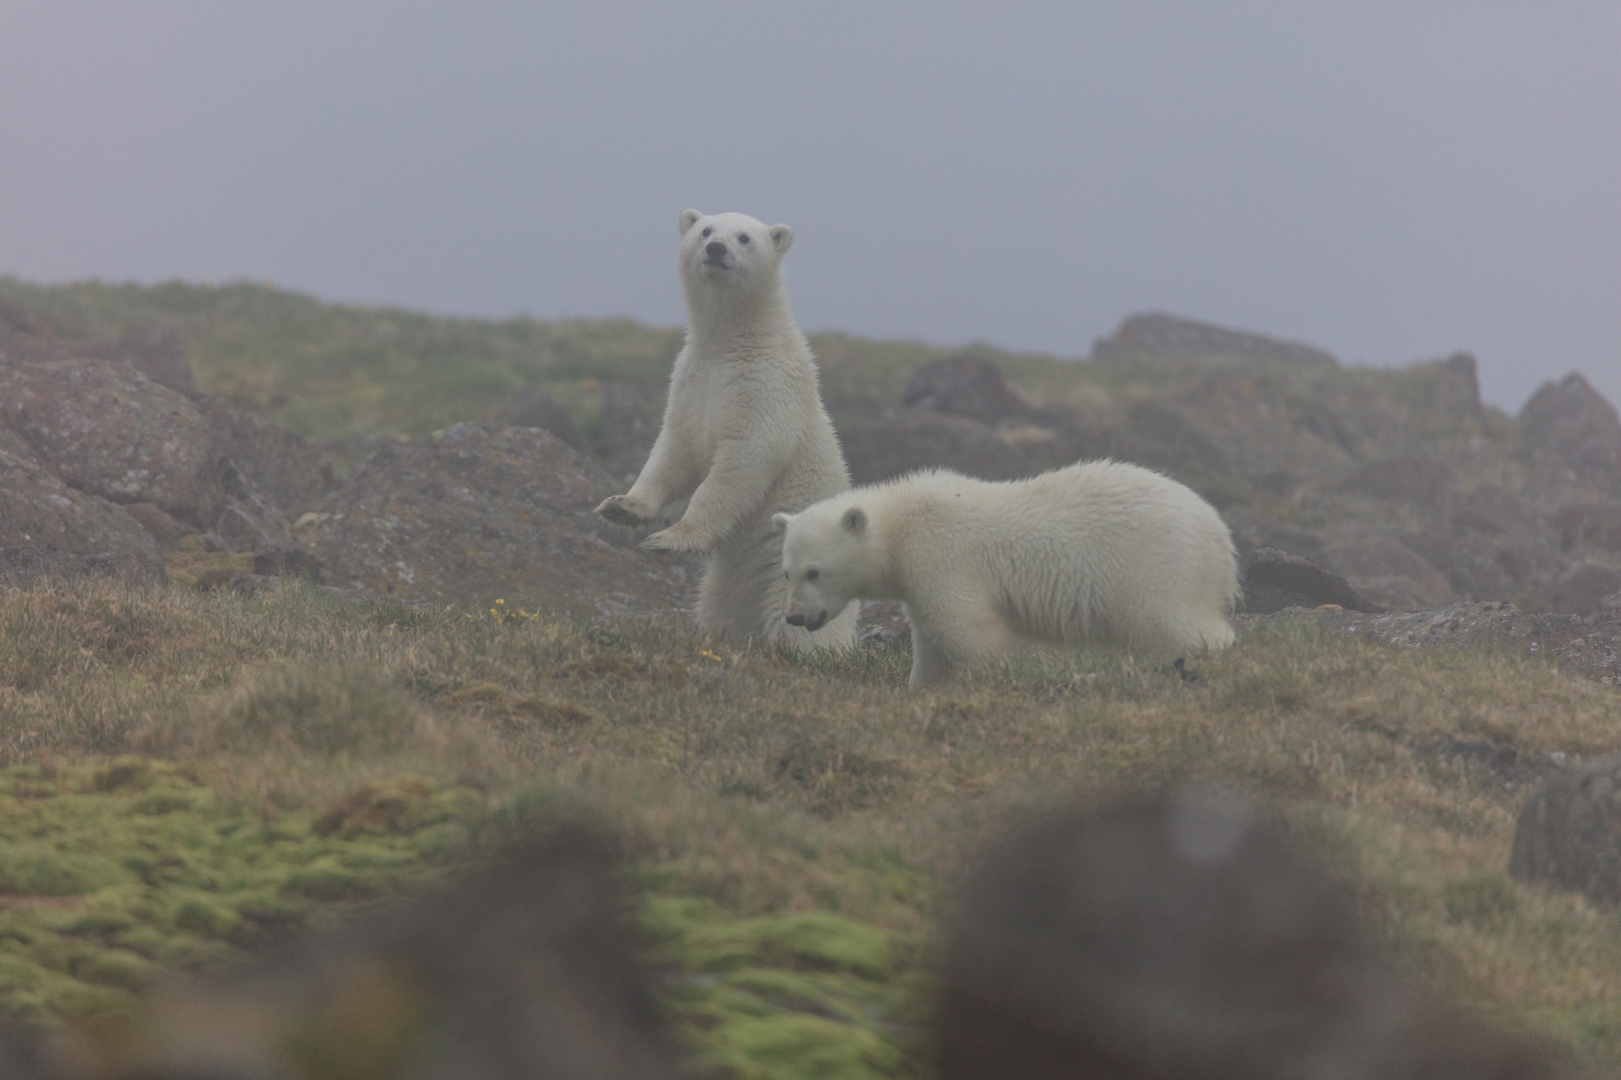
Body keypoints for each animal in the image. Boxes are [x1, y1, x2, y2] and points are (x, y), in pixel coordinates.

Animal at [596, 209, 862, 648]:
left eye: (744, 238)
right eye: (705, 230)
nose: (716, 249)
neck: (731, 342)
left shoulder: (764, 389)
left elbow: (739, 464)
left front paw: (670, 539)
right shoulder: (691, 381)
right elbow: (673, 451)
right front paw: (623, 506)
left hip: (793, 564)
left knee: (799, 624)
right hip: (730, 578)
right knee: (720, 603)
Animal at [771, 457, 1238, 684]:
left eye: (814, 572)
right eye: (786, 572)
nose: (794, 617)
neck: (903, 523)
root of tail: (1221, 538)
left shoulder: (941, 558)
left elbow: (971, 630)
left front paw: (996, 675)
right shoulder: (917, 583)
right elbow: (932, 650)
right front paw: (923, 688)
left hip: (1153, 562)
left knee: (1168, 619)